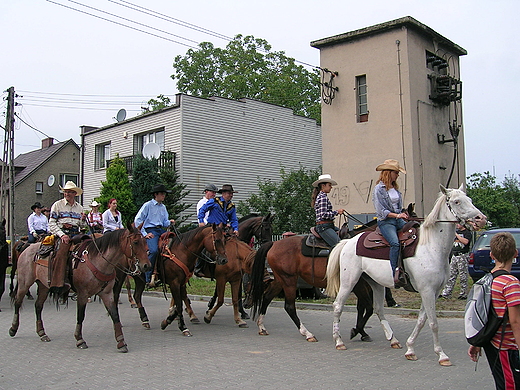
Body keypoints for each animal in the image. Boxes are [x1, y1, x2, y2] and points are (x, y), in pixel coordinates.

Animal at [9, 224, 149, 352]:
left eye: (145, 241)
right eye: (135, 242)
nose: (146, 265)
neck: (98, 260)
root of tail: (27, 248)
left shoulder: (106, 293)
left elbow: (114, 314)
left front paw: (121, 342)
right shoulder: (82, 294)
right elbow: (80, 315)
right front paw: (80, 339)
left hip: (44, 286)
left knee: (38, 306)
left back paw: (42, 333)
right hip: (24, 282)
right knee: (17, 302)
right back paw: (13, 329)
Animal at [324, 187, 488, 366]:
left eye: (469, 199)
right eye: (457, 201)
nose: (481, 219)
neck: (431, 247)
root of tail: (347, 242)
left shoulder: (434, 292)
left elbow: (422, 320)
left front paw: (410, 349)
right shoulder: (427, 291)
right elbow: (433, 322)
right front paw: (442, 355)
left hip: (376, 283)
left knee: (378, 308)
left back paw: (393, 340)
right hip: (349, 281)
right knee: (338, 306)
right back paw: (339, 341)